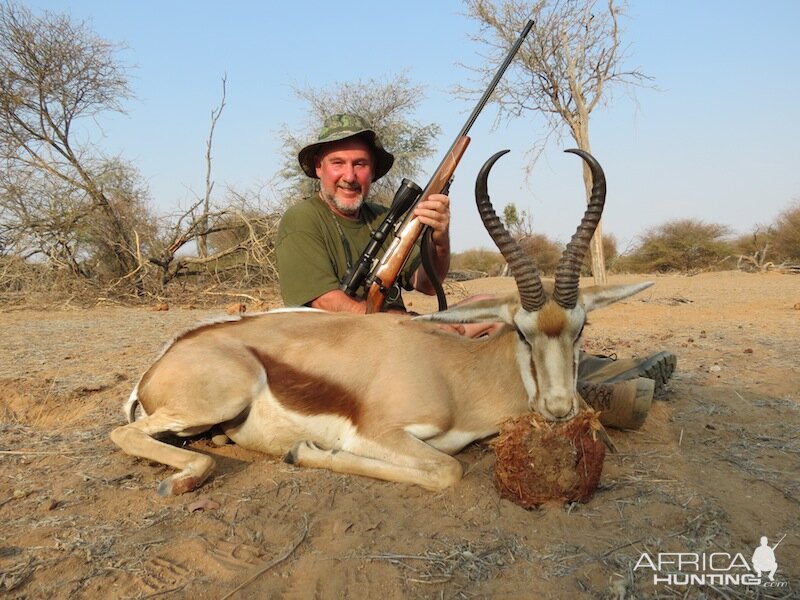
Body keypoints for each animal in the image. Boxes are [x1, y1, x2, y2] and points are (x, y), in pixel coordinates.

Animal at [111, 148, 648, 494]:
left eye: (582, 329)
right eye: (521, 330)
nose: (559, 410)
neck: (457, 374)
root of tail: (157, 368)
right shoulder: (377, 434)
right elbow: (447, 472)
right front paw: (305, 451)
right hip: (219, 396)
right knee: (128, 436)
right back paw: (182, 479)